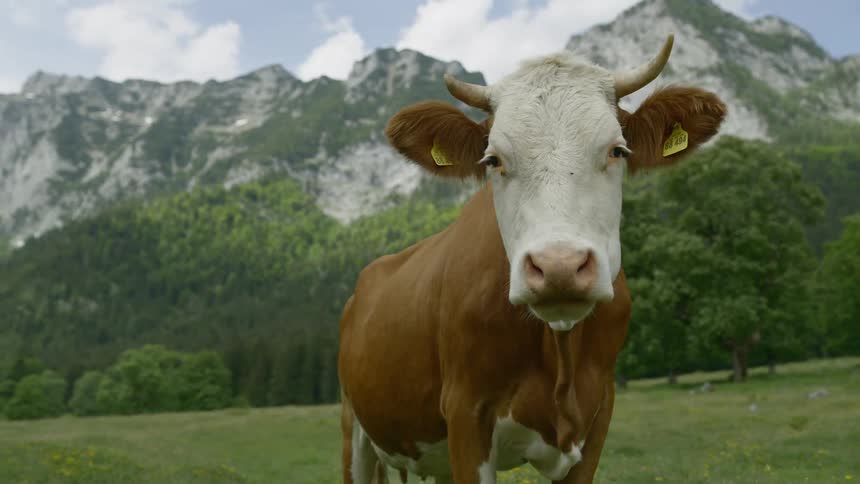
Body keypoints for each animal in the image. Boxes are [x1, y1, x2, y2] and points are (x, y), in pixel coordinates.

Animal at [338, 34, 726, 484]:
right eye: (493, 160)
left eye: (618, 150)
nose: (559, 266)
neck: (559, 352)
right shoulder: (465, 414)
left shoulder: (598, 416)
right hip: (354, 429)